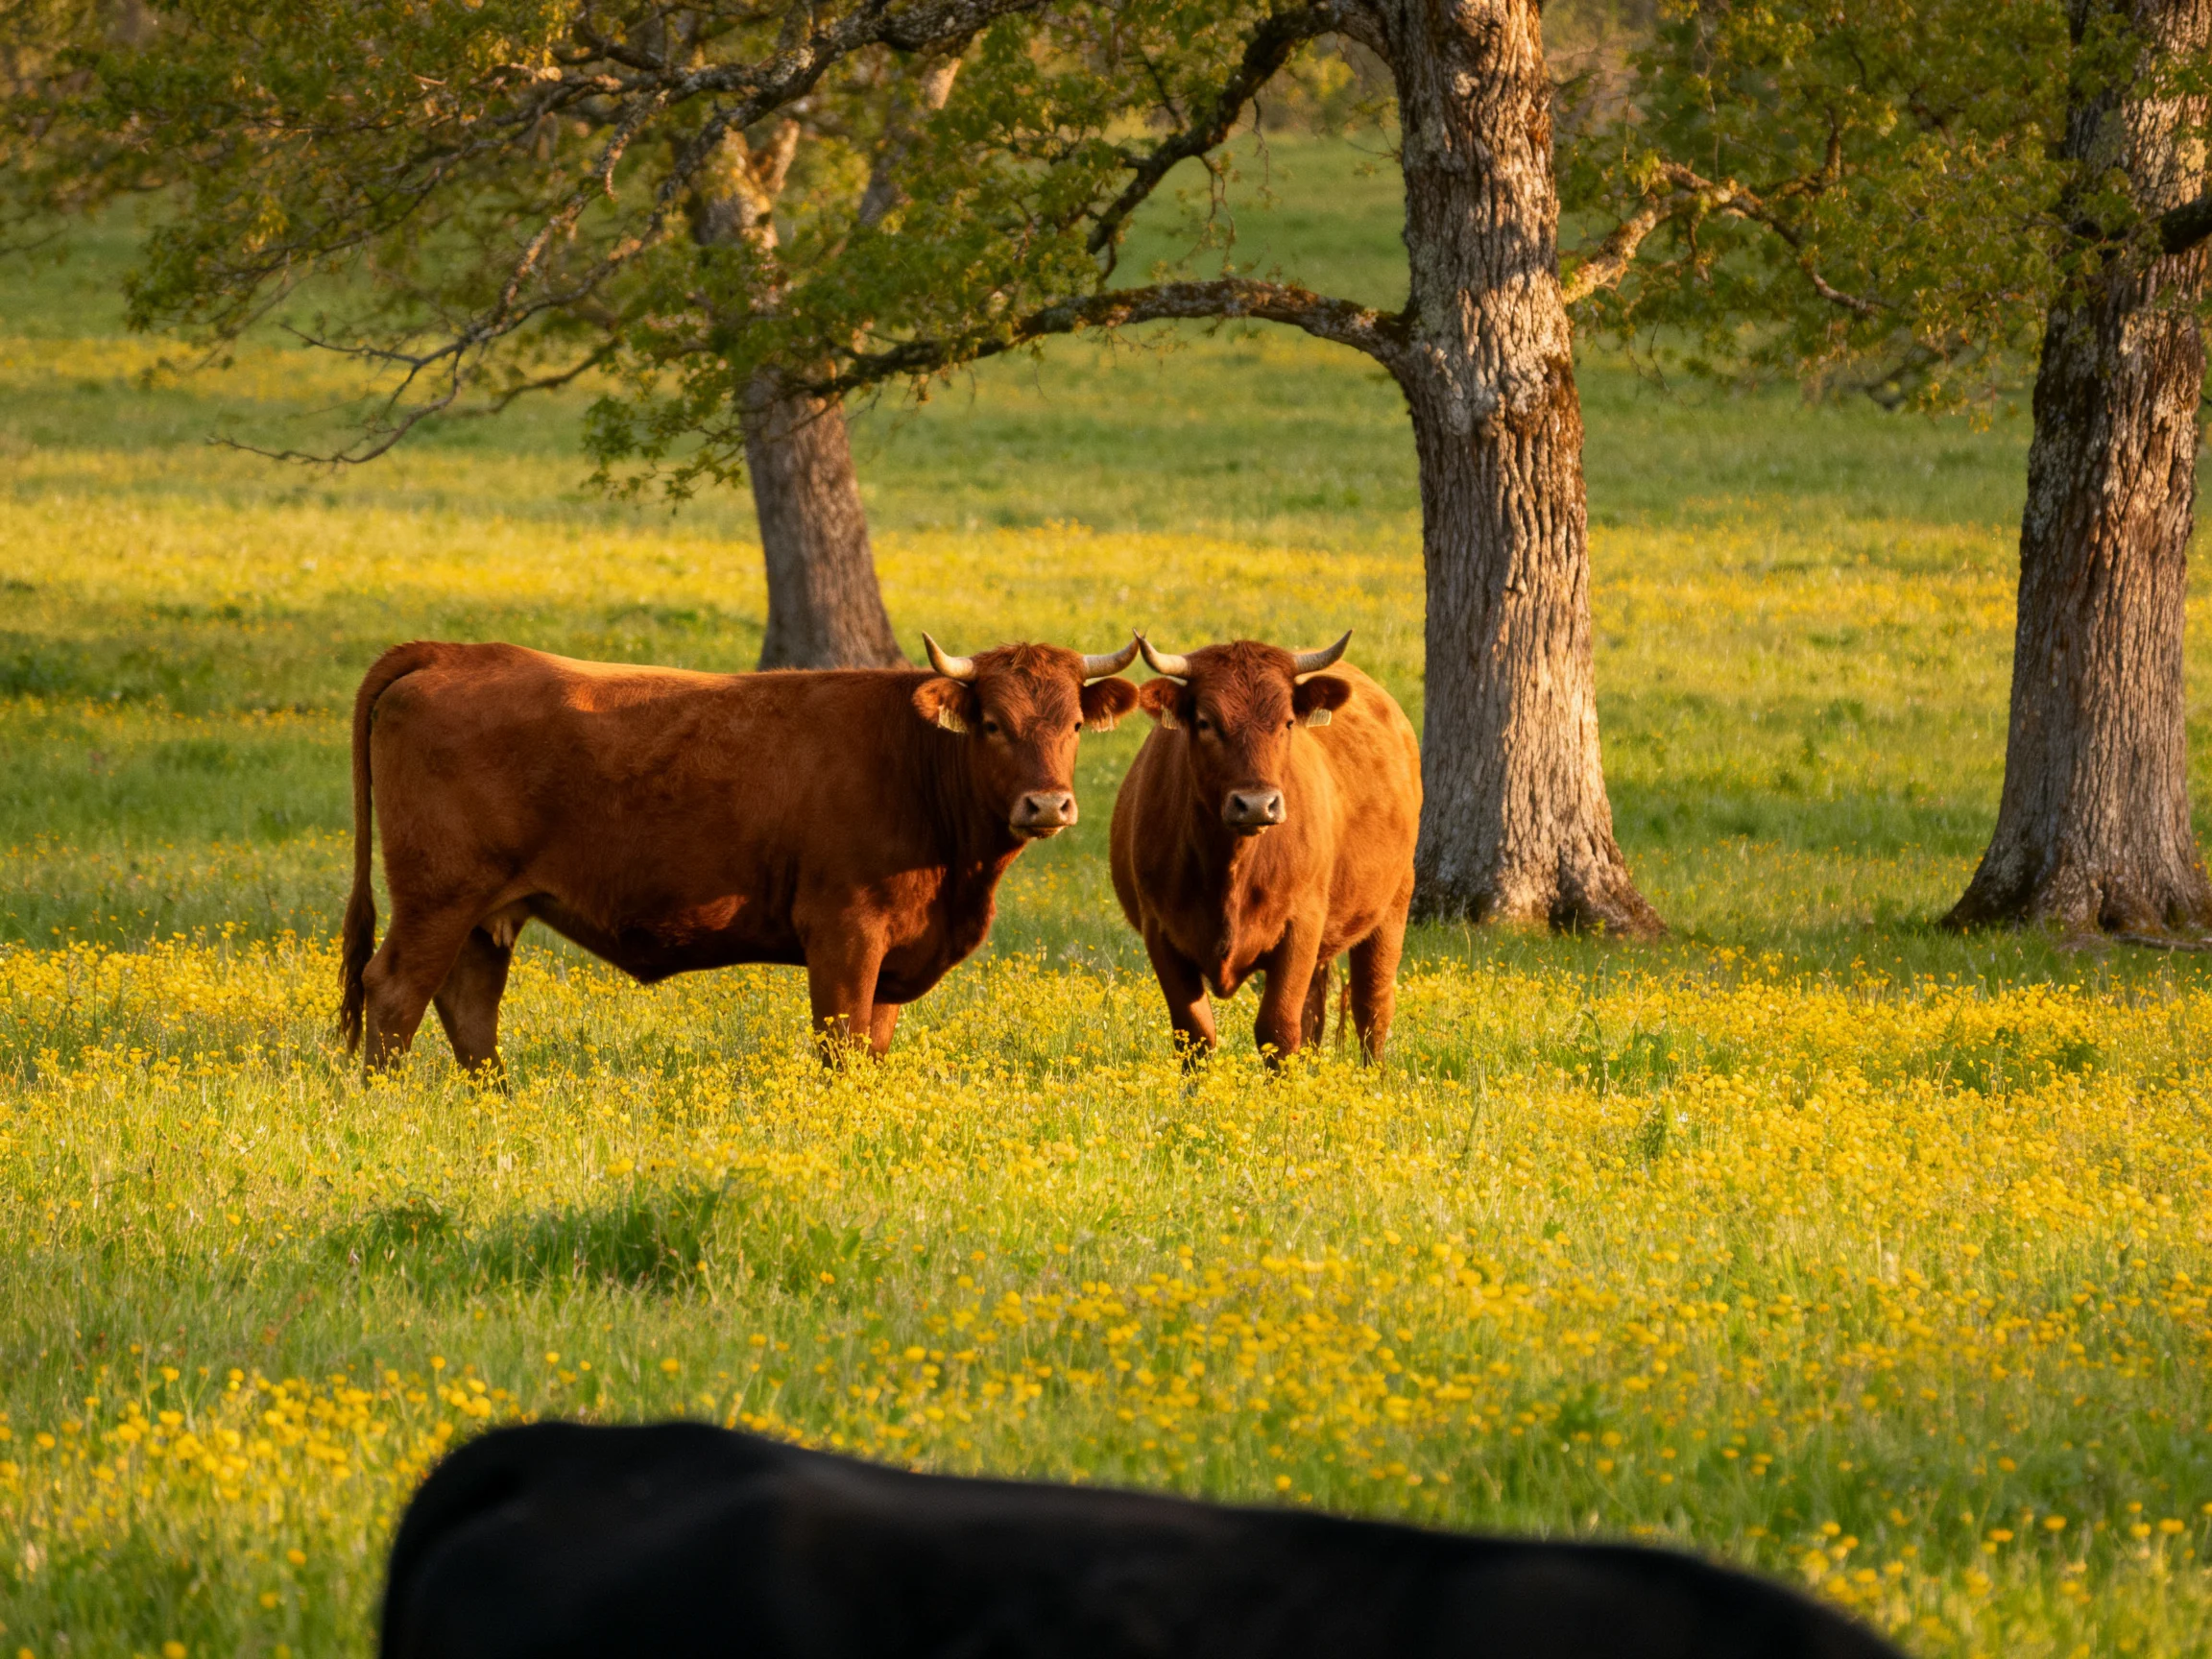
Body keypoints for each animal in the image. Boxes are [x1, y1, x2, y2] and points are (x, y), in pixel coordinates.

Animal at [338, 635, 1140, 1072]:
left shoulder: (894, 953)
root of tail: (455, 653)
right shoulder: (844, 936)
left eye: (1073, 723)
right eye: (995, 724)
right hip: (439, 898)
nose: (1047, 806)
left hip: (485, 912)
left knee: (469, 1005)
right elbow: (839, 1049)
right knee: (396, 992)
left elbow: (872, 1050)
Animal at [1108, 632, 1420, 1065]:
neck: (1231, 865)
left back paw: (1374, 1074)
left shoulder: (1301, 926)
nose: (1257, 804)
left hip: (1392, 905)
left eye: (1287, 722)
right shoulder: (1160, 931)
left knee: (1371, 1007)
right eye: (1205, 722)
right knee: (1316, 1014)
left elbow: (1278, 1029)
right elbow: (1195, 1032)